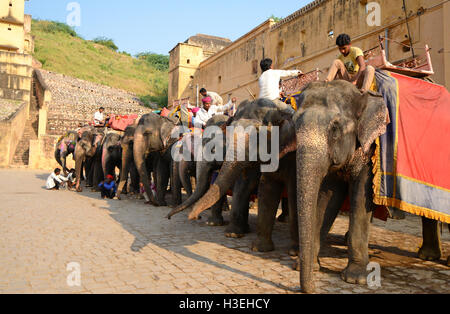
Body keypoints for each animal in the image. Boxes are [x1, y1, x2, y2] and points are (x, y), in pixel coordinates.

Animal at [292, 79, 390, 294]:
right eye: (293, 123)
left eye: (335, 129)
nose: (312, 288)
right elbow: (327, 198)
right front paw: (309, 266)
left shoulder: (369, 148)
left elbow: (361, 196)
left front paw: (356, 279)